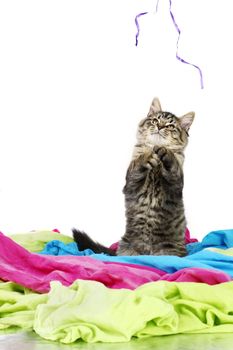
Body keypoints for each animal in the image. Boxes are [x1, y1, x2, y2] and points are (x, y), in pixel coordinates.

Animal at [73, 96, 195, 258]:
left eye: (170, 126)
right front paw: (147, 156)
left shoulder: (175, 184)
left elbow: (172, 163)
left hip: (169, 252)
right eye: (155, 120)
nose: (160, 127)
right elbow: (138, 163)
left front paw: (166, 152)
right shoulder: (131, 180)